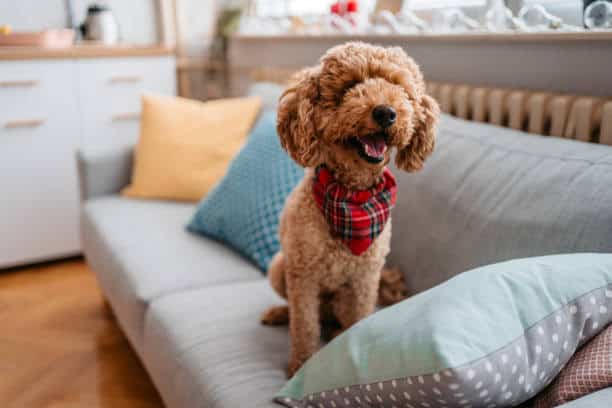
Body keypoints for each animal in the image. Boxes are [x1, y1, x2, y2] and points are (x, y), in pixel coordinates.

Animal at [260, 41, 438, 376]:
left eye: (399, 87)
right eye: (350, 86)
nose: (386, 112)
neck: (351, 197)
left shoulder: (366, 277)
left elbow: (359, 319)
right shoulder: (303, 275)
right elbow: (304, 327)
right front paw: (299, 366)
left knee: (335, 322)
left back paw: (334, 333)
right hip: (279, 267)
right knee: (299, 312)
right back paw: (279, 314)